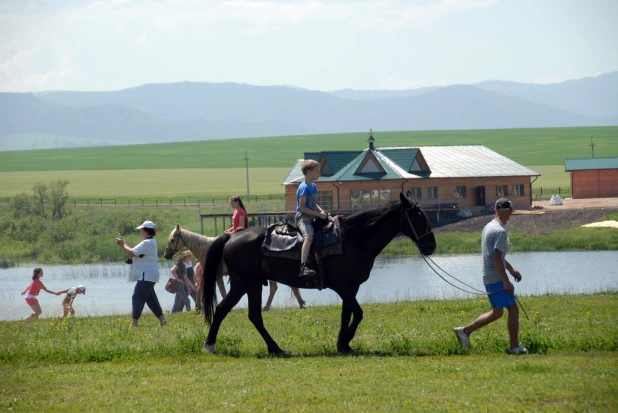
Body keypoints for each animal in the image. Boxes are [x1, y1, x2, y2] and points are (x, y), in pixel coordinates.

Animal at [201, 192, 434, 352]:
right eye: (418, 215)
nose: (431, 246)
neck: (354, 239)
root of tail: (231, 237)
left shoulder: (352, 287)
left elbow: (347, 313)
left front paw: (343, 344)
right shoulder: (341, 286)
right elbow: (358, 313)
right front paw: (346, 339)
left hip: (241, 284)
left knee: (222, 309)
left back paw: (210, 344)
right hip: (252, 284)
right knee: (254, 315)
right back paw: (275, 348)